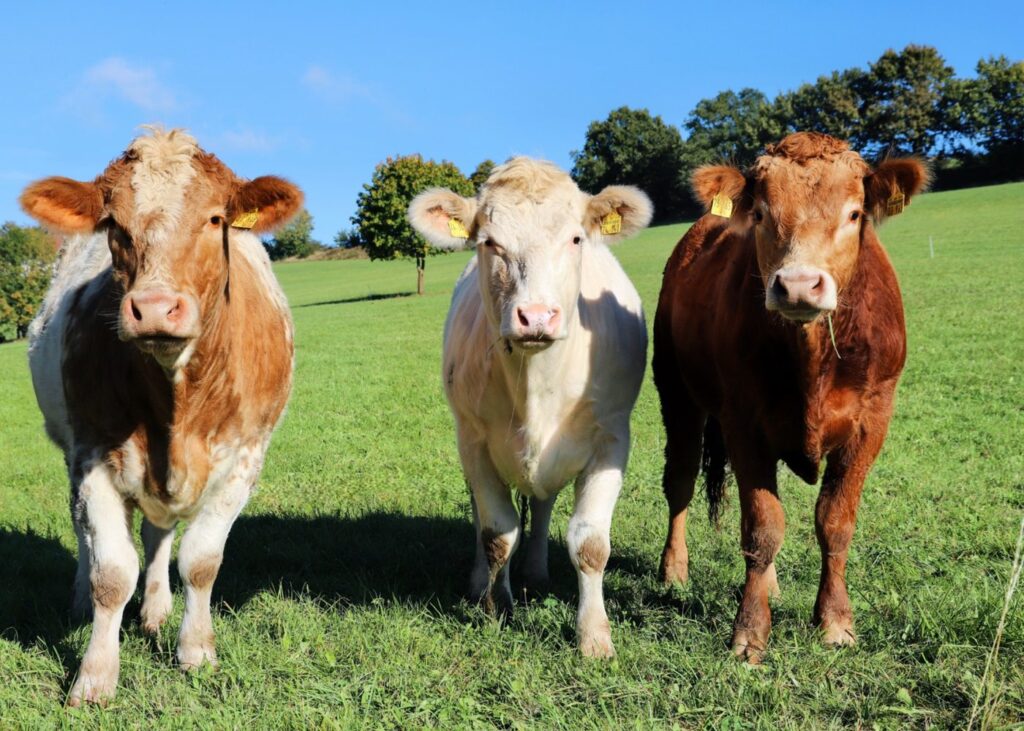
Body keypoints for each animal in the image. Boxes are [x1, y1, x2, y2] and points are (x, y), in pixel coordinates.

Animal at [19, 128, 302, 705]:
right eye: (113, 224)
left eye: (215, 218)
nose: (153, 308)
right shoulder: (93, 454)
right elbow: (110, 571)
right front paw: (95, 676)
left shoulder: (244, 460)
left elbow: (199, 560)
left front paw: (195, 650)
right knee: (86, 533)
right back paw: (81, 600)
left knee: (158, 536)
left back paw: (155, 607)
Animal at [408, 158, 652, 657]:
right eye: (489, 242)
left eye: (576, 239)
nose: (536, 317)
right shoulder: (474, 440)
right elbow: (497, 532)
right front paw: (496, 605)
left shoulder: (613, 438)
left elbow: (590, 542)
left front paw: (594, 636)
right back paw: (479, 579)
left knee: (542, 505)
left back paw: (536, 571)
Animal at [652, 132, 928, 662]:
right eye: (761, 213)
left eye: (854, 213)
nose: (799, 285)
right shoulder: (742, 421)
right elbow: (762, 528)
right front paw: (750, 633)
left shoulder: (872, 421)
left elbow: (834, 522)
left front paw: (835, 622)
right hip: (676, 392)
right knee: (680, 481)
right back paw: (673, 570)